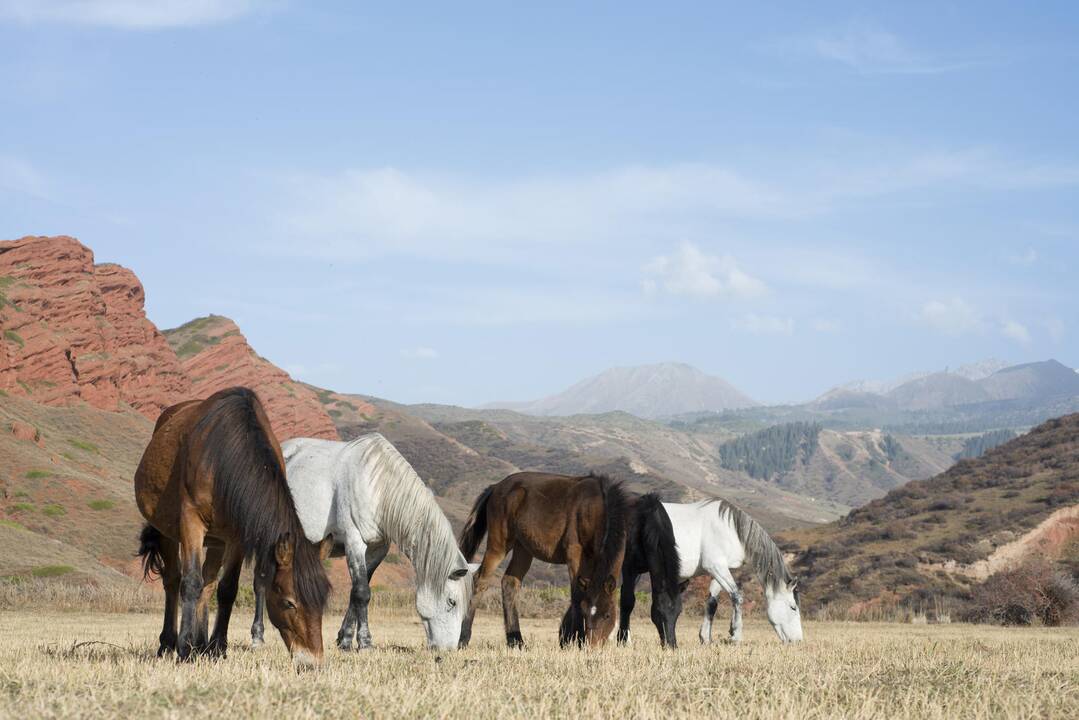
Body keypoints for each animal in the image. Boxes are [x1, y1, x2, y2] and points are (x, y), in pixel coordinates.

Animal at [134, 388, 328, 669]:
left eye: (322, 602)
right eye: (289, 603)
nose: (312, 662)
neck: (223, 455)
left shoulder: (237, 537)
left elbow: (227, 589)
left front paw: (216, 649)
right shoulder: (191, 522)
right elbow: (190, 582)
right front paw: (184, 650)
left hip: (217, 541)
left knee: (208, 583)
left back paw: (200, 644)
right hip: (168, 533)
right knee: (173, 581)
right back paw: (169, 644)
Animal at [250, 433, 479, 651]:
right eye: (452, 602)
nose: (448, 649)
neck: (378, 487)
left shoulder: (378, 549)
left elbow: (356, 592)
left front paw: (345, 641)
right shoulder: (354, 542)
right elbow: (362, 593)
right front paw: (365, 642)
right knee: (260, 583)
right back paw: (257, 638)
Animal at [457, 470, 630, 651]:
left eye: (607, 615)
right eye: (585, 612)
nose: (592, 646)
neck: (595, 506)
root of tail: (496, 487)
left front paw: (566, 638)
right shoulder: (574, 553)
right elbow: (576, 594)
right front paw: (575, 639)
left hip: (523, 549)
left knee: (510, 583)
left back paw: (516, 641)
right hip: (498, 547)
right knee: (480, 581)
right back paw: (463, 638)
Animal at [617, 496, 681, 647]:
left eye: (678, 613)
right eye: (659, 612)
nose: (672, 645)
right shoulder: (629, 568)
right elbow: (627, 601)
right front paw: (622, 640)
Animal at [660, 498, 807, 643]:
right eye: (793, 607)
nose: (798, 640)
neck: (731, 530)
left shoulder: (719, 571)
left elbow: (712, 603)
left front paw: (706, 638)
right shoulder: (715, 566)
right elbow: (737, 596)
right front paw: (736, 634)